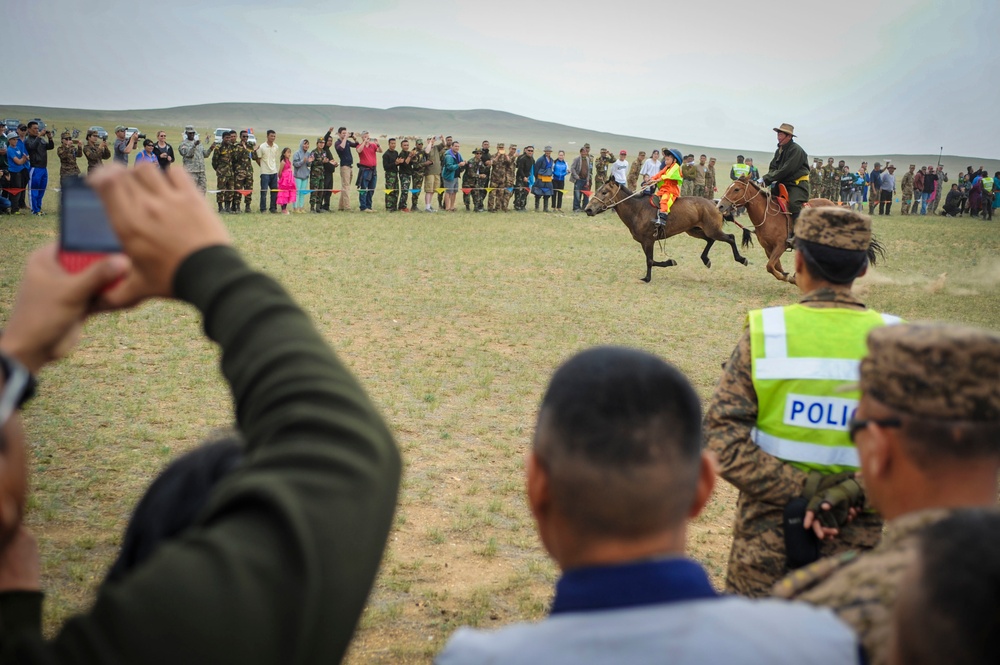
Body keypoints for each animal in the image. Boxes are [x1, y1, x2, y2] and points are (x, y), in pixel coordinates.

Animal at [584, 180, 748, 282]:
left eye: (604, 192)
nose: (588, 209)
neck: (637, 209)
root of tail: (715, 203)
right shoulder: (644, 242)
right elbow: (650, 260)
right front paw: (669, 262)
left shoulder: (648, 240)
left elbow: (650, 260)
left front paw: (648, 277)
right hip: (695, 230)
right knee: (710, 240)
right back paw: (705, 259)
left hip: (712, 230)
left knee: (730, 237)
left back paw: (741, 259)